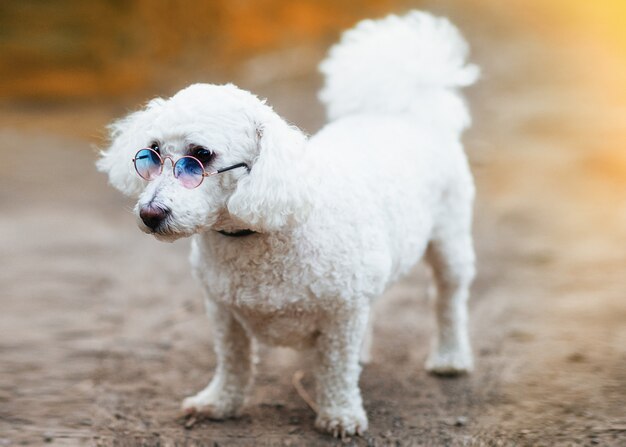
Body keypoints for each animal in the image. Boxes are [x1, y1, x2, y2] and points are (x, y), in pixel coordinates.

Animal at [96, 11, 478, 440]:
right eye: (151, 153)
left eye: (201, 156)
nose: (150, 214)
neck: (258, 230)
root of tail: (405, 112)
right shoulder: (223, 311)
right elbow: (233, 361)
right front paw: (220, 402)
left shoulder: (341, 312)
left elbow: (336, 370)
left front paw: (340, 414)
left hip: (449, 241)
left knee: (448, 299)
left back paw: (450, 358)